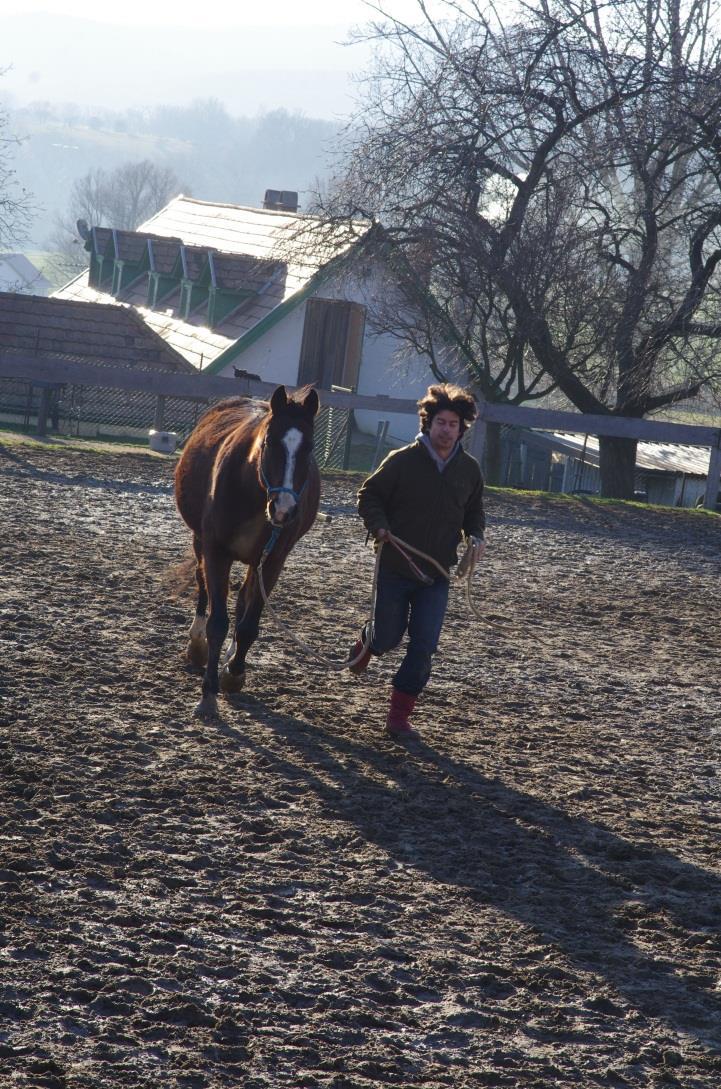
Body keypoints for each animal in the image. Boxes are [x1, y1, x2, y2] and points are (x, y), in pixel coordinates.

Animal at [174, 383, 320, 714]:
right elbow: (217, 622)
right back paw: (197, 644)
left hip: (256, 560)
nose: (284, 509)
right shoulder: (216, 551)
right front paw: (208, 693)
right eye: (269, 442)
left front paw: (234, 673)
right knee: (202, 587)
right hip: (200, 541)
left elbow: (248, 624)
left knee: (242, 602)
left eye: (309, 449)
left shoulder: (273, 561)